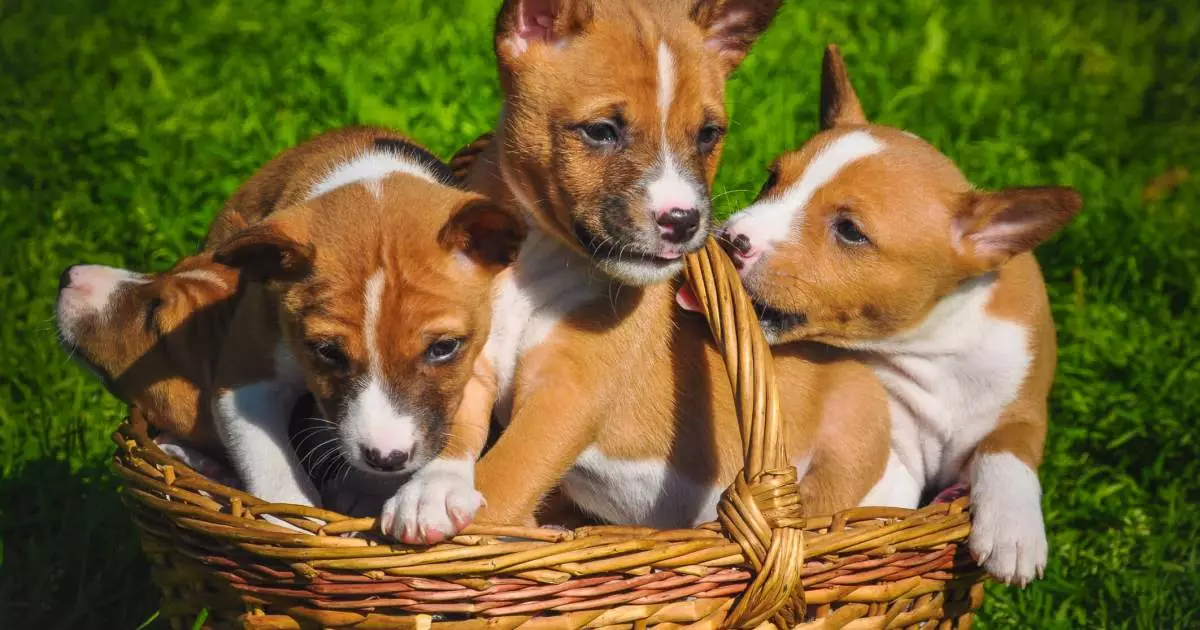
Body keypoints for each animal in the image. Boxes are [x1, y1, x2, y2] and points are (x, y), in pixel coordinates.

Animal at [207, 126, 525, 540]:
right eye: (326, 351)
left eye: (444, 347)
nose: (386, 459)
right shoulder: (242, 377)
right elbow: (272, 470)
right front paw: (294, 524)